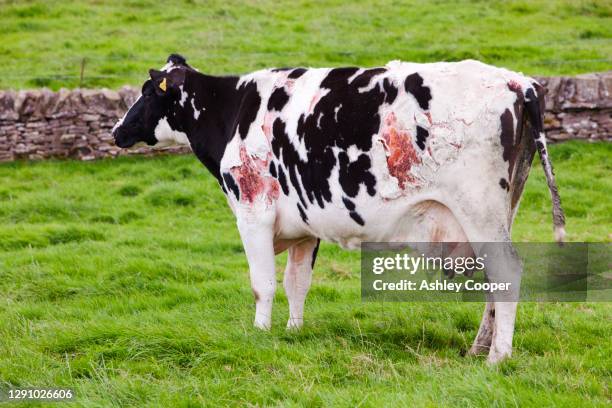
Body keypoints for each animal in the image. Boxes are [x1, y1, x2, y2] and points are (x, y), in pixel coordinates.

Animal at [111, 54, 564, 364]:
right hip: (500, 212)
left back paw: (497, 358)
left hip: (479, 210)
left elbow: (263, 284)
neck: (235, 111)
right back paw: (478, 348)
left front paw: (259, 333)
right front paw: (292, 331)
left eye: (147, 93)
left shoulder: (254, 212)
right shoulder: (303, 225)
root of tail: (517, 82)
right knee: (494, 281)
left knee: (507, 271)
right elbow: (296, 283)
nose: (116, 131)